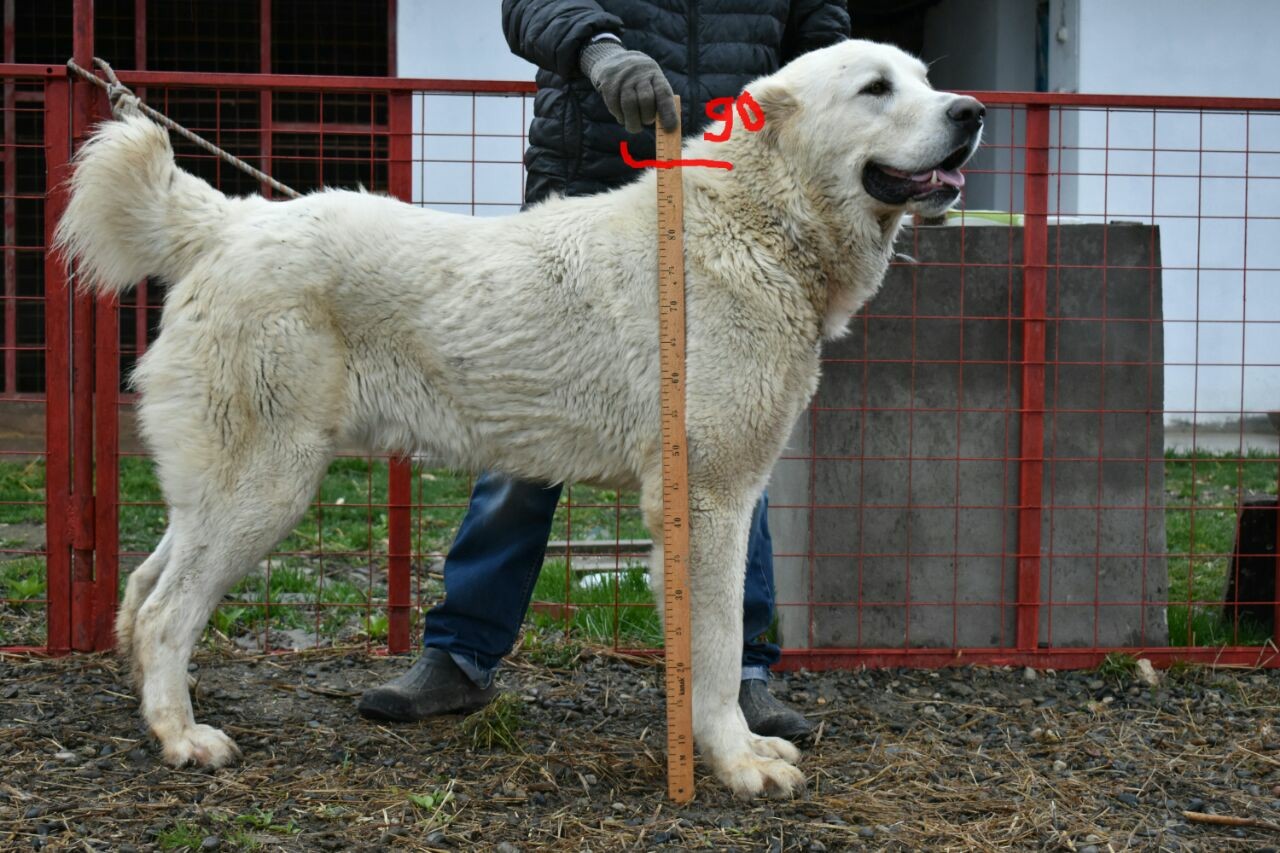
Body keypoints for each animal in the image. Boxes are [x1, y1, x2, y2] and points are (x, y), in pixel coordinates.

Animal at [55, 39, 983, 799]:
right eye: (875, 89)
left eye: (926, 80)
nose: (973, 111)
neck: (757, 222)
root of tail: (230, 221)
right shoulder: (706, 499)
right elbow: (716, 649)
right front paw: (733, 759)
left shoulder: (730, 490)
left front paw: (738, 744)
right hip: (267, 484)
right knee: (168, 610)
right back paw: (183, 737)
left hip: (225, 485)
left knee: (142, 591)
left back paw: (158, 706)